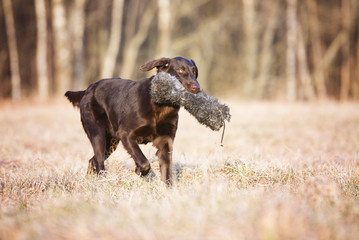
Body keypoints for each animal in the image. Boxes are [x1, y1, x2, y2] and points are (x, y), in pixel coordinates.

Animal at [66, 57, 201, 185]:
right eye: (181, 70)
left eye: (194, 71)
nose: (196, 88)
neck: (160, 106)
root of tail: (89, 89)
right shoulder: (125, 134)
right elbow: (144, 162)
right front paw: (140, 171)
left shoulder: (166, 140)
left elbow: (167, 171)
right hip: (98, 134)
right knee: (99, 162)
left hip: (111, 143)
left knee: (92, 161)